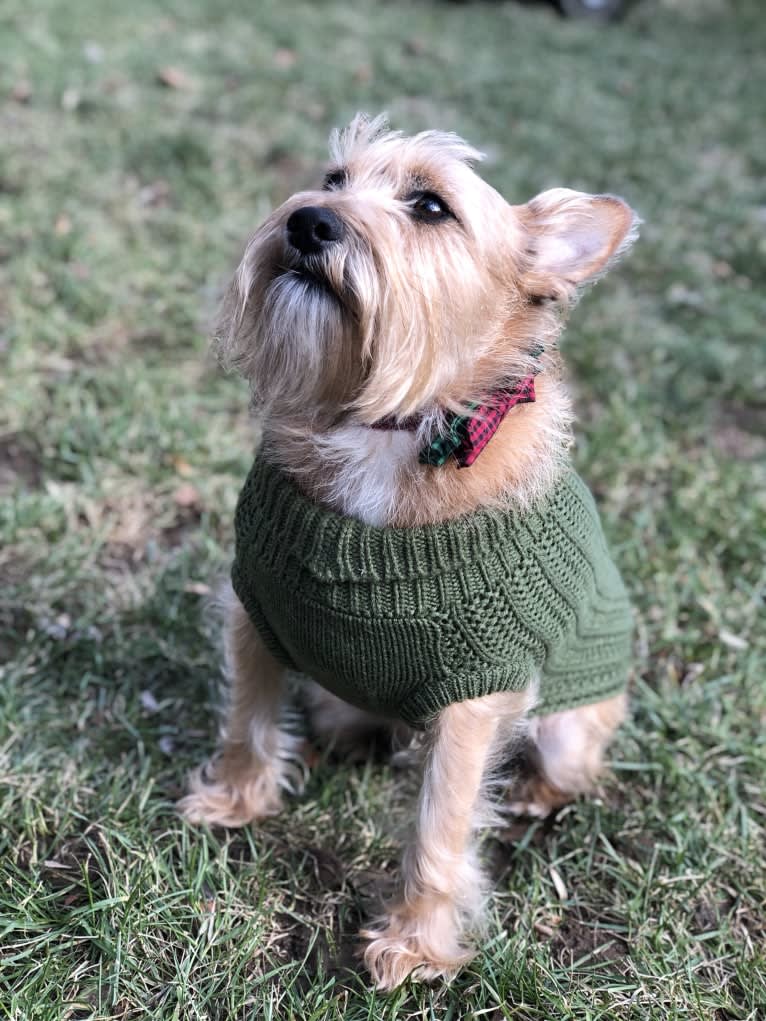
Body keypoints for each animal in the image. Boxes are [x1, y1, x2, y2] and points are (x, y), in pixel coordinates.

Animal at [178, 113, 637, 988]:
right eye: (334, 178)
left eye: (429, 206)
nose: (308, 222)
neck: (384, 430)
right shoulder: (256, 610)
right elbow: (249, 717)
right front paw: (237, 798)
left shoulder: (474, 692)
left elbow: (440, 822)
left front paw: (416, 942)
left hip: (570, 722)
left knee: (570, 764)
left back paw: (532, 792)